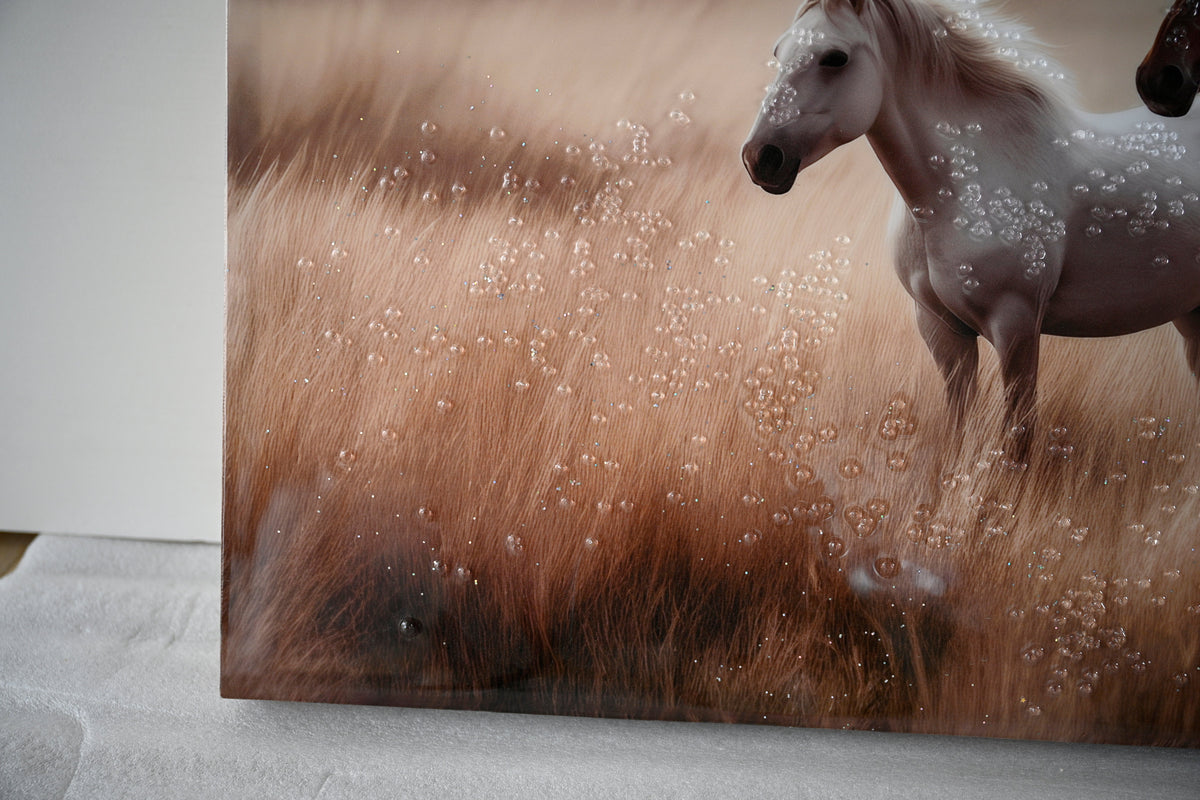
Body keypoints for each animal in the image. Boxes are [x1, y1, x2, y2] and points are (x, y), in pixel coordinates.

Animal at [742, 0, 1200, 462]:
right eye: (779, 51)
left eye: (834, 57)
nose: (760, 158)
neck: (959, 191)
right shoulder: (942, 332)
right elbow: (957, 431)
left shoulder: (1016, 327)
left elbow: (1017, 441)